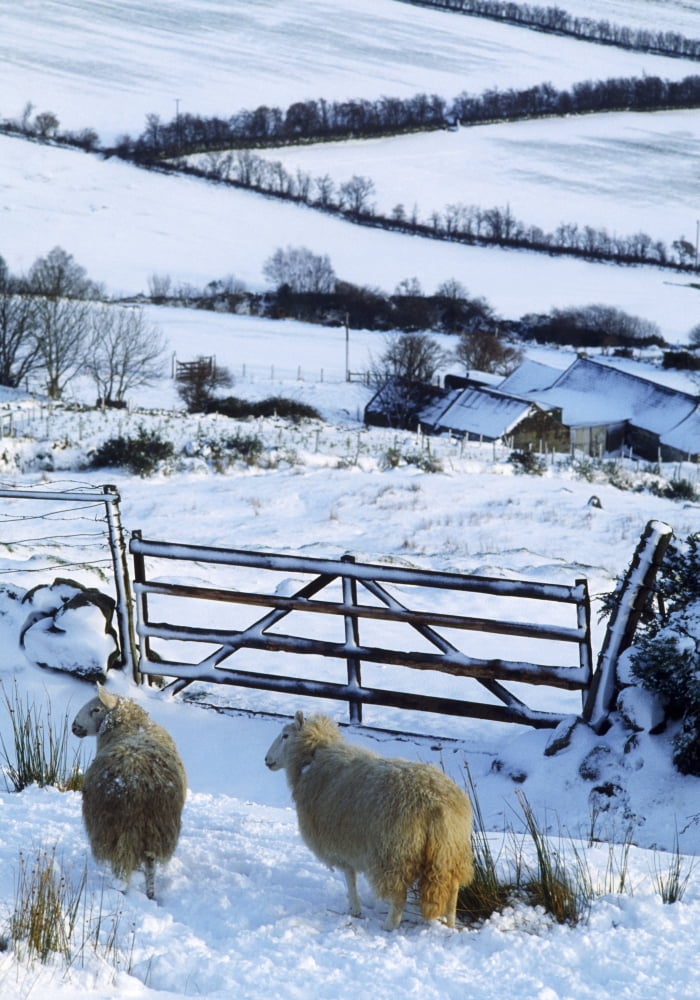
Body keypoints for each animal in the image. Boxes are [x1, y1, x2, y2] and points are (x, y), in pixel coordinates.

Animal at [71, 682, 187, 900]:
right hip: (155, 827)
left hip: (113, 828)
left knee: (121, 864)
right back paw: (150, 894)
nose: (74, 727)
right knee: (150, 863)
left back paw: (119, 891)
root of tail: (139, 785)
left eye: (96, 709)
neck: (130, 725)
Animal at [265, 710, 474, 930]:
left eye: (285, 735)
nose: (266, 759)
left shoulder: (341, 844)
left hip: (395, 853)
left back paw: (389, 926)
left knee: (399, 895)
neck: (311, 760)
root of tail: (436, 803)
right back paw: (450, 926)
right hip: (450, 851)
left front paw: (354, 910)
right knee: (453, 890)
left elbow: (350, 878)